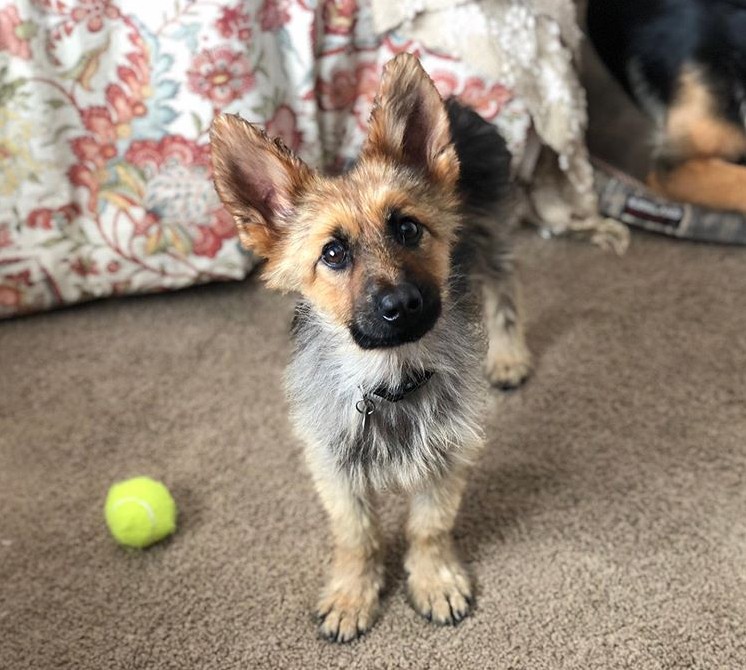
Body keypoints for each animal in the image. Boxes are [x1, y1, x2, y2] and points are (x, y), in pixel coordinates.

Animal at [209, 55, 528, 644]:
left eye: (407, 228)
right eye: (333, 253)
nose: (401, 304)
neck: (389, 380)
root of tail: (456, 104)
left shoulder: (447, 456)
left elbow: (429, 528)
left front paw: (434, 579)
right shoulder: (334, 468)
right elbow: (356, 537)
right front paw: (352, 594)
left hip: (492, 236)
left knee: (506, 291)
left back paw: (509, 354)